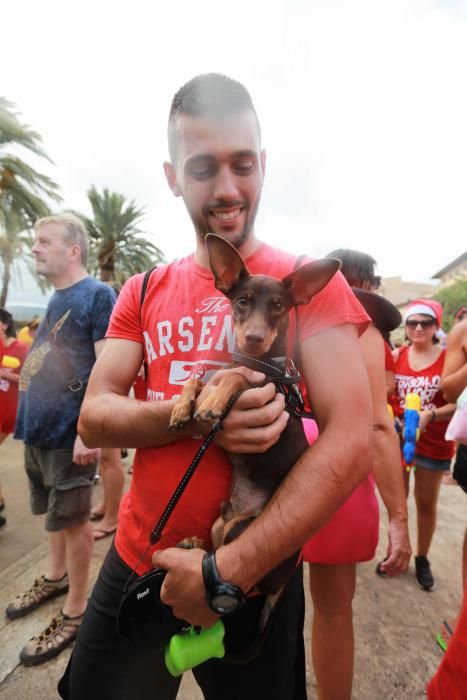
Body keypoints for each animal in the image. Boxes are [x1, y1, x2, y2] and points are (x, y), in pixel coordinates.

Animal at [170, 235, 338, 592]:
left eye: (278, 306)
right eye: (243, 301)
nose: (254, 338)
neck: (255, 362)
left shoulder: (263, 389)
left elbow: (236, 378)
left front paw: (212, 402)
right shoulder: (216, 374)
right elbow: (196, 378)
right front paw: (181, 407)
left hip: (242, 532)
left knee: (239, 575)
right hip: (221, 523)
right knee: (215, 550)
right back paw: (192, 544)